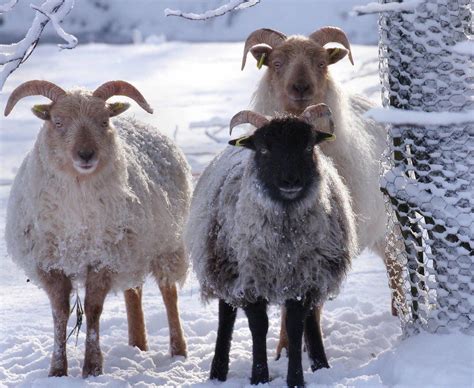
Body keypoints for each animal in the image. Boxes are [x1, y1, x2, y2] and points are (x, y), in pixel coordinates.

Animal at [3, 80, 193, 378]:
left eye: (104, 121)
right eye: (57, 121)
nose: (86, 154)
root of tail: (138, 121)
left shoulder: (103, 259)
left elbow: (93, 309)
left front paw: (92, 367)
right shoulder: (50, 263)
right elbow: (59, 313)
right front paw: (57, 370)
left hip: (166, 245)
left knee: (168, 294)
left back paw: (178, 351)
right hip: (132, 251)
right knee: (133, 292)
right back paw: (137, 345)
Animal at [187, 104, 358, 386]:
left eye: (308, 147)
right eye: (264, 149)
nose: (291, 181)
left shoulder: (304, 279)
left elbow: (296, 325)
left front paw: (296, 378)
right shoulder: (249, 281)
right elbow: (259, 326)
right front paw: (259, 376)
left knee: (312, 317)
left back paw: (321, 364)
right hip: (223, 265)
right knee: (226, 315)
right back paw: (218, 371)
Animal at [243, 25, 406, 354]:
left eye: (321, 63)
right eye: (276, 63)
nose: (301, 87)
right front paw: (283, 350)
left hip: (390, 226)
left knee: (397, 268)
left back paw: (400, 313)